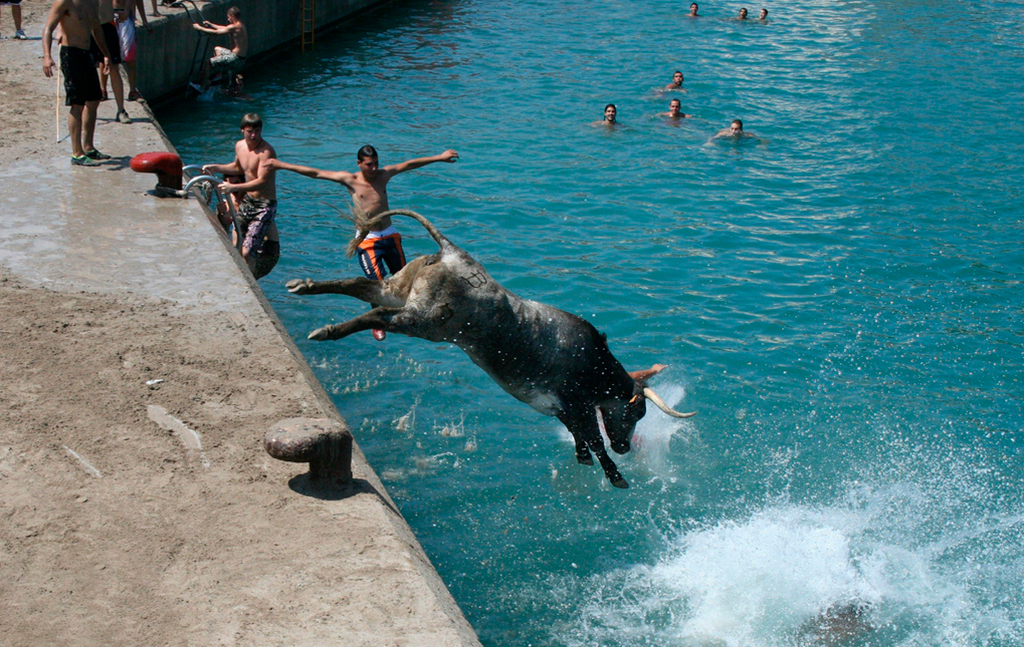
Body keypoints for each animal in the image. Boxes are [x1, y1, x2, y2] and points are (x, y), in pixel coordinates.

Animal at [284, 209, 692, 487]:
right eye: (636, 412)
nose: (626, 447)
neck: (595, 364)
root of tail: (452, 253)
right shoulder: (577, 403)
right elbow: (593, 437)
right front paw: (616, 474)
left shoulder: (564, 408)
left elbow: (582, 438)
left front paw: (587, 461)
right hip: (425, 320)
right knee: (380, 315)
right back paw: (326, 330)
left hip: (400, 288)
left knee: (360, 286)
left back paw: (304, 286)